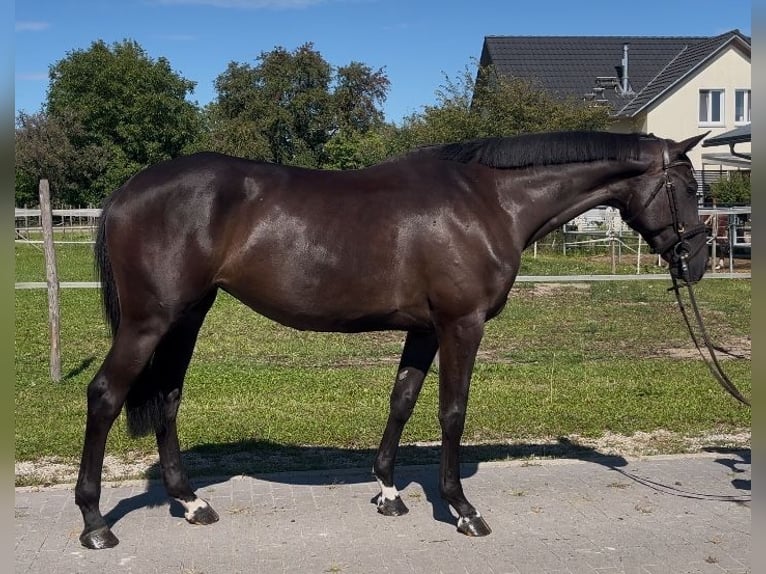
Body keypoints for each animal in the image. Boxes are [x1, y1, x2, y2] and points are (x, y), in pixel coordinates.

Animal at [76, 130, 713, 549]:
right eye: (688, 188)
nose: (701, 261)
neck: (488, 201)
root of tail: (127, 191)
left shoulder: (425, 330)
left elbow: (403, 400)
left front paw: (387, 490)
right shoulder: (462, 324)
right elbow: (453, 411)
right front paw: (462, 509)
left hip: (187, 316)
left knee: (168, 398)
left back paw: (191, 502)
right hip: (150, 321)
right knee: (105, 395)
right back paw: (95, 524)